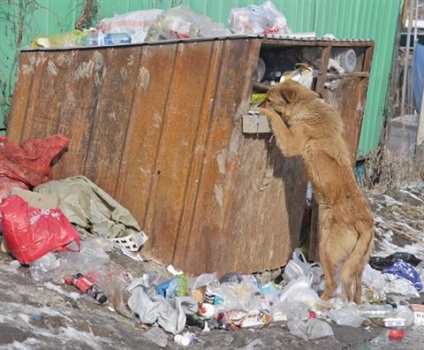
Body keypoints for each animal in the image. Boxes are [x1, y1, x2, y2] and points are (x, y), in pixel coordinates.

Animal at [256, 80, 372, 304]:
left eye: (269, 99)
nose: (255, 104)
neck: (308, 105)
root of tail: (364, 223)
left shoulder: (291, 142)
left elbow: (277, 120)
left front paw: (265, 113)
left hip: (325, 249)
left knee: (333, 282)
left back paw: (321, 302)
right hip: (358, 263)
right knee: (357, 286)